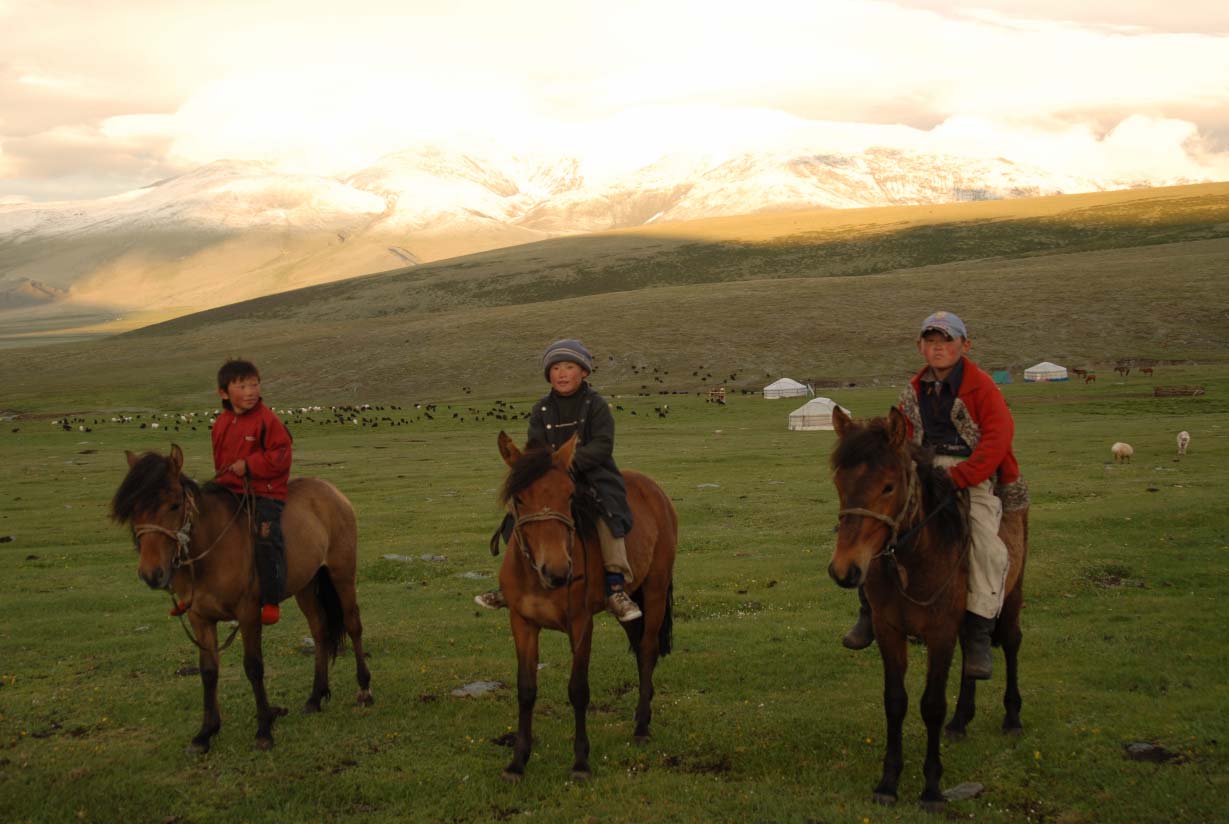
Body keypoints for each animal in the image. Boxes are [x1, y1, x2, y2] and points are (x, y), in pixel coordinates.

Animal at [109, 445, 368, 757]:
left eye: (174, 504)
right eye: (133, 509)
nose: (151, 574)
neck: (211, 551)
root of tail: (331, 490)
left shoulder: (248, 612)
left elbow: (253, 667)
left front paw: (264, 730)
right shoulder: (200, 617)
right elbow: (208, 671)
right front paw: (205, 733)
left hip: (342, 573)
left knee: (353, 624)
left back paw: (364, 690)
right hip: (306, 585)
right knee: (319, 630)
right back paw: (315, 697)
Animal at [491, 430, 683, 782]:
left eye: (569, 495)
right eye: (519, 499)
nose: (556, 571)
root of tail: (653, 488)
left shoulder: (581, 623)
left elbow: (578, 689)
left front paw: (580, 762)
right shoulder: (522, 623)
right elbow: (526, 690)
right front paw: (518, 761)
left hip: (655, 590)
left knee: (648, 649)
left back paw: (642, 725)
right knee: (638, 645)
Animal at [825, 408, 1027, 811]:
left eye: (888, 487)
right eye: (840, 483)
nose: (844, 569)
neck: (915, 558)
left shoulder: (939, 633)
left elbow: (931, 705)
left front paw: (932, 788)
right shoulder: (889, 630)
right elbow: (895, 701)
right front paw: (888, 782)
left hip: (1012, 591)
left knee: (1012, 642)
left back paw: (1012, 717)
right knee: (972, 650)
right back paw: (961, 721)